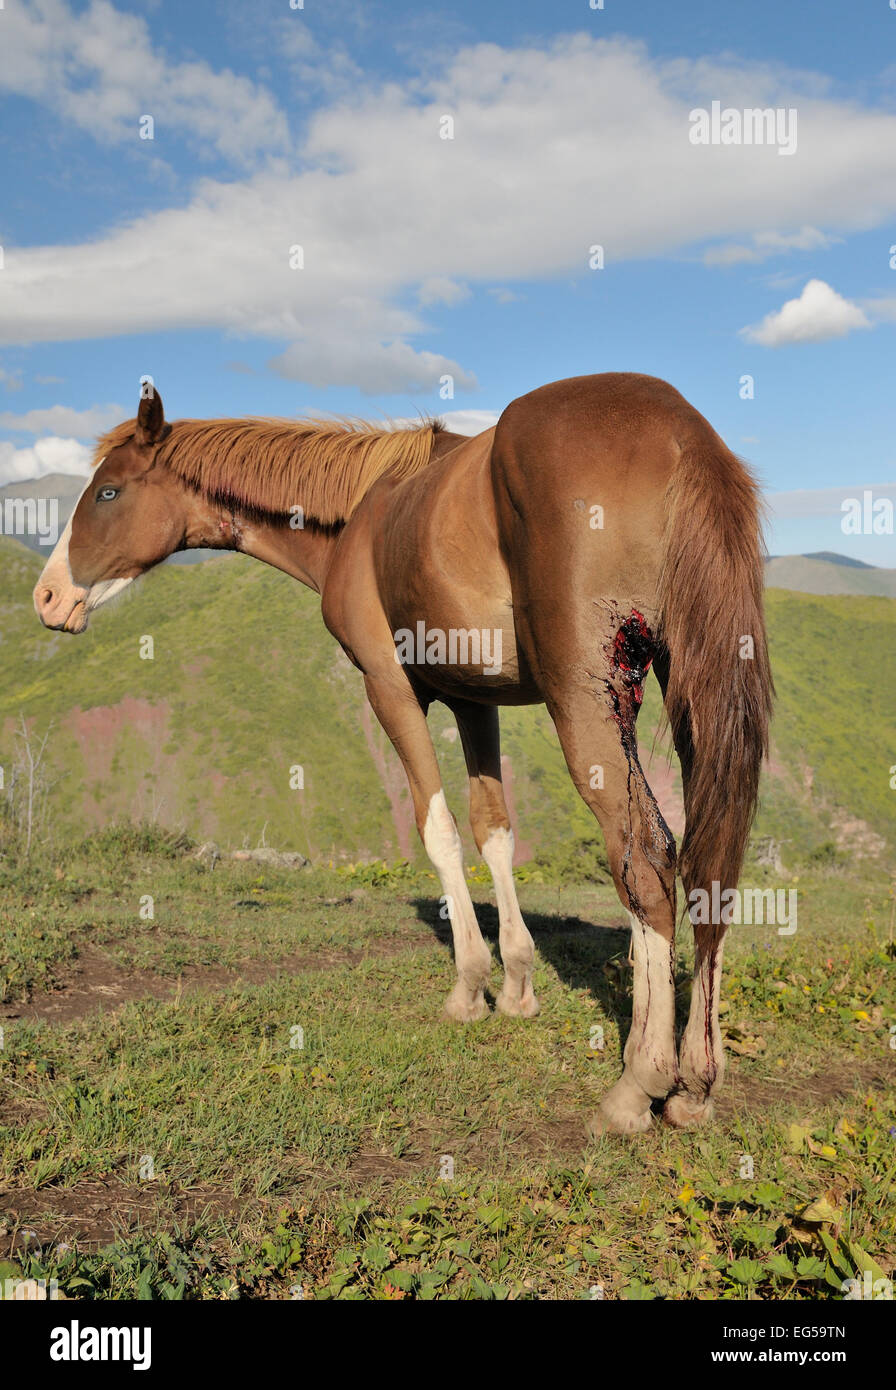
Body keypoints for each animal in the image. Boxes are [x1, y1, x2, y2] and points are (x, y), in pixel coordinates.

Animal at [34, 375, 772, 1134]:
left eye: (108, 492)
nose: (49, 595)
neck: (361, 513)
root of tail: (681, 430)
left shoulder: (388, 687)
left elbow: (438, 829)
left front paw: (470, 988)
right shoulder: (475, 699)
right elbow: (493, 831)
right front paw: (516, 983)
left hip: (589, 699)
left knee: (646, 856)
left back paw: (639, 1080)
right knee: (711, 868)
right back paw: (695, 1081)